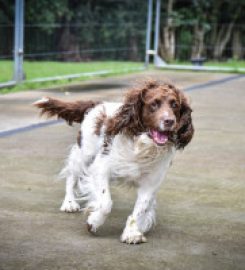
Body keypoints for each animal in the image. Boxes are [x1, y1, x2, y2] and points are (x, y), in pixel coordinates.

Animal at [34, 79, 194, 245]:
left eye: (175, 105)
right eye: (154, 104)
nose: (170, 121)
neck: (142, 146)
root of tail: (97, 104)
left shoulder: (152, 181)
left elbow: (141, 208)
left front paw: (132, 232)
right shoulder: (101, 168)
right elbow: (106, 203)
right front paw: (94, 222)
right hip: (84, 153)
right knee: (71, 176)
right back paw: (69, 202)